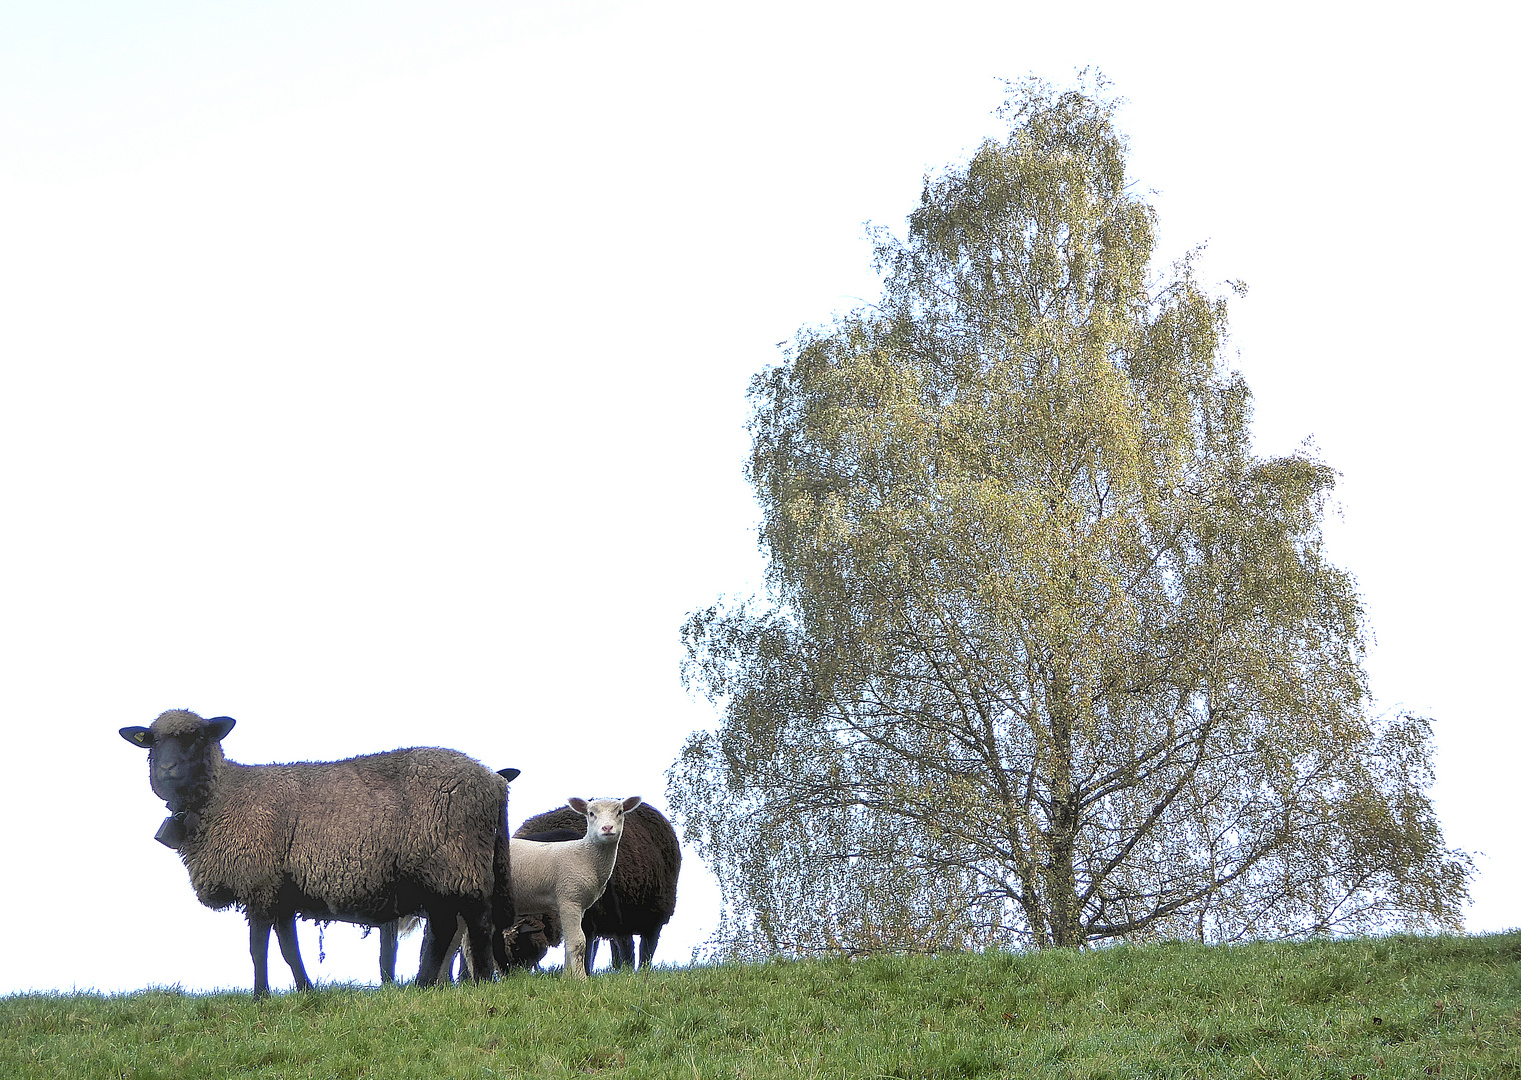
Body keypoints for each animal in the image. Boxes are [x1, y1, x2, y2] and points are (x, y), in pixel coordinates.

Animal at [114, 711, 517, 997]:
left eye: (197, 737)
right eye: (151, 742)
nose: (168, 769)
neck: (224, 795)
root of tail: (493, 781)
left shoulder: (259, 882)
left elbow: (257, 947)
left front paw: (260, 996)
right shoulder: (281, 890)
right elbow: (288, 947)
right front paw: (304, 990)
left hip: (456, 860)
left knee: (476, 924)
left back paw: (479, 981)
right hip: (441, 871)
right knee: (445, 929)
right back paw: (425, 986)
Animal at [514, 803, 681, 973]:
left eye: (520, 945)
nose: (513, 974)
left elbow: (586, 945)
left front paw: (585, 972)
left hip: (654, 911)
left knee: (644, 946)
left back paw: (639, 970)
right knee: (621, 944)